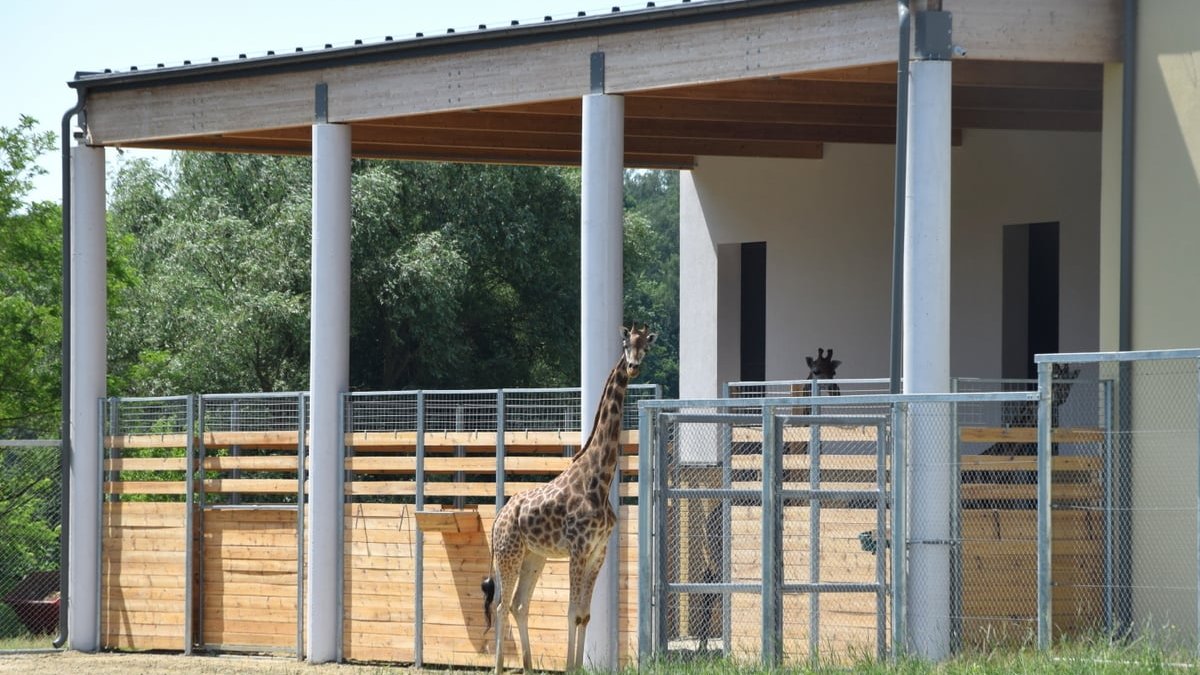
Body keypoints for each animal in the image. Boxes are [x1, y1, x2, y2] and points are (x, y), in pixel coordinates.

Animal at [477, 324, 657, 667]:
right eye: (625, 343)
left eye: (645, 346)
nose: (632, 366)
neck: (599, 481)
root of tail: (497, 519)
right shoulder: (578, 548)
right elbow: (572, 612)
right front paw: (570, 666)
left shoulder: (598, 551)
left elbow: (584, 615)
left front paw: (577, 665)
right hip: (508, 554)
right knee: (501, 606)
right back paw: (499, 667)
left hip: (534, 556)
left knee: (519, 604)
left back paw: (528, 666)